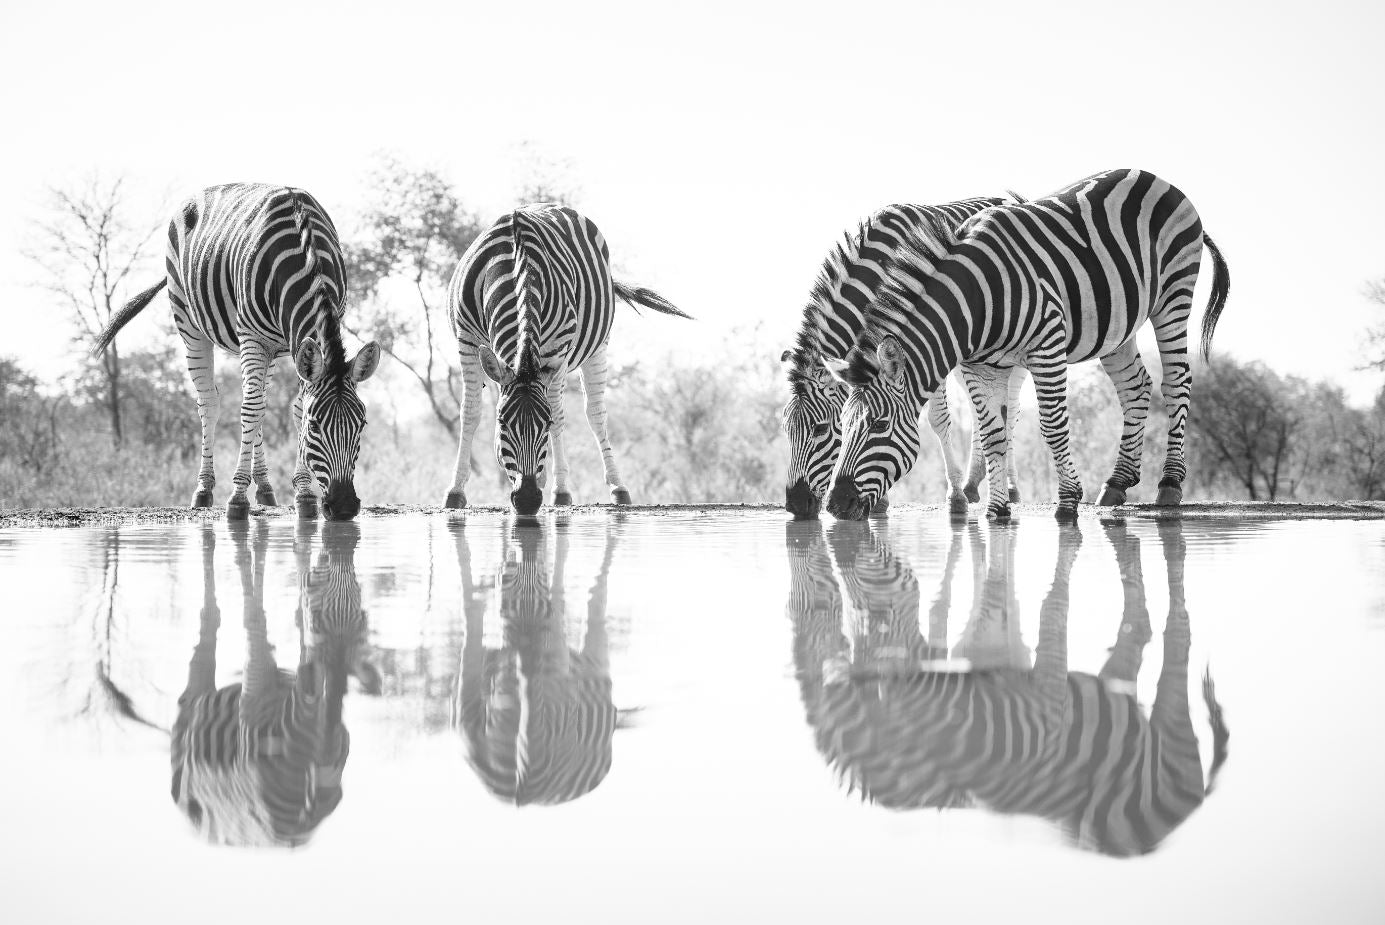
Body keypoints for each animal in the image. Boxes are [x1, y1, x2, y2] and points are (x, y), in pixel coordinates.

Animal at [93, 184, 381, 521]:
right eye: (314, 426)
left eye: (362, 424)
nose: (345, 506)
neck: (304, 250)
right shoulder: (252, 336)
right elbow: (251, 410)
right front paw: (238, 498)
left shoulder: (296, 342)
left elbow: (289, 407)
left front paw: (303, 494)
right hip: (189, 322)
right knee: (212, 403)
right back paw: (204, 489)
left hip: (272, 346)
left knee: (260, 401)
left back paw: (266, 488)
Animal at [170, 519, 372, 847]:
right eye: (320, 618)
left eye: (363, 619)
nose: (329, 557)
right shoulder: (254, 693)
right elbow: (254, 618)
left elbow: (296, 623)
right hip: (194, 708)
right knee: (211, 625)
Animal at [444, 204, 689, 515]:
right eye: (501, 422)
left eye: (545, 423)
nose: (527, 500)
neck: (514, 266)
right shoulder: (466, 339)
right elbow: (470, 412)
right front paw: (455, 491)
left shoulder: (557, 347)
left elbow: (560, 415)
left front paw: (559, 489)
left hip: (597, 347)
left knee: (595, 413)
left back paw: (612, 488)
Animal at [784, 199, 1030, 519]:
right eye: (786, 430)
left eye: (820, 429)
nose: (795, 505)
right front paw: (880, 501)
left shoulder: (927, 342)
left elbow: (938, 419)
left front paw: (955, 498)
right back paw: (973, 483)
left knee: (1010, 409)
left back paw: (1007, 490)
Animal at [823, 168, 1231, 521]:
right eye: (841, 426)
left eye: (879, 425)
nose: (834, 505)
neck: (975, 301)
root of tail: (1153, 176)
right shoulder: (980, 367)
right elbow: (993, 434)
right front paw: (996, 511)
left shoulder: (1047, 344)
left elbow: (1051, 425)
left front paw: (1067, 501)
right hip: (1118, 323)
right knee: (1136, 387)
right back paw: (1117, 483)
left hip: (1173, 295)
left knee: (1176, 382)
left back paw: (1169, 484)